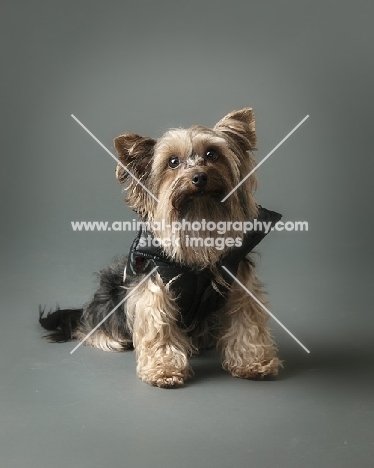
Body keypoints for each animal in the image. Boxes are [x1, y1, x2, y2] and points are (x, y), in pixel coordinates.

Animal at [39, 109, 282, 388]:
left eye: (212, 154)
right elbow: (158, 326)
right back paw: (108, 337)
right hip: (112, 291)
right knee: (91, 321)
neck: (198, 219)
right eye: (173, 162)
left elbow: (246, 321)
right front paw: (164, 369)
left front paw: (254, 362)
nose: (199, 177)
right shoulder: (154, 287)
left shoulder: (239, 281)